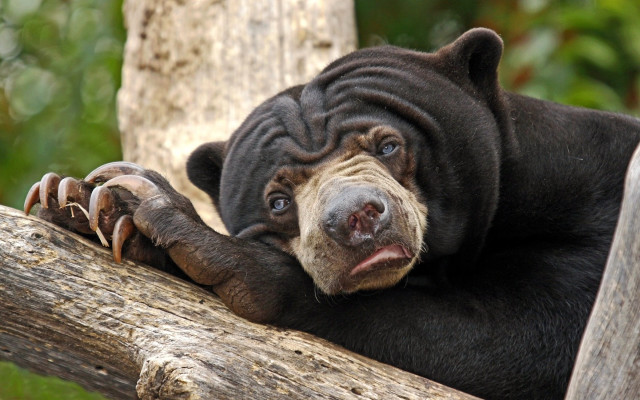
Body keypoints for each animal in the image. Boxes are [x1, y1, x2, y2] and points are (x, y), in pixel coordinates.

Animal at [25, 28, 640, 399]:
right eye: (278, 201)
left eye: (388, 145)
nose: (357, 218)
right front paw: (84, 202)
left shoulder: (596, 212)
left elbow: (531, 342)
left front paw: (195, 239)